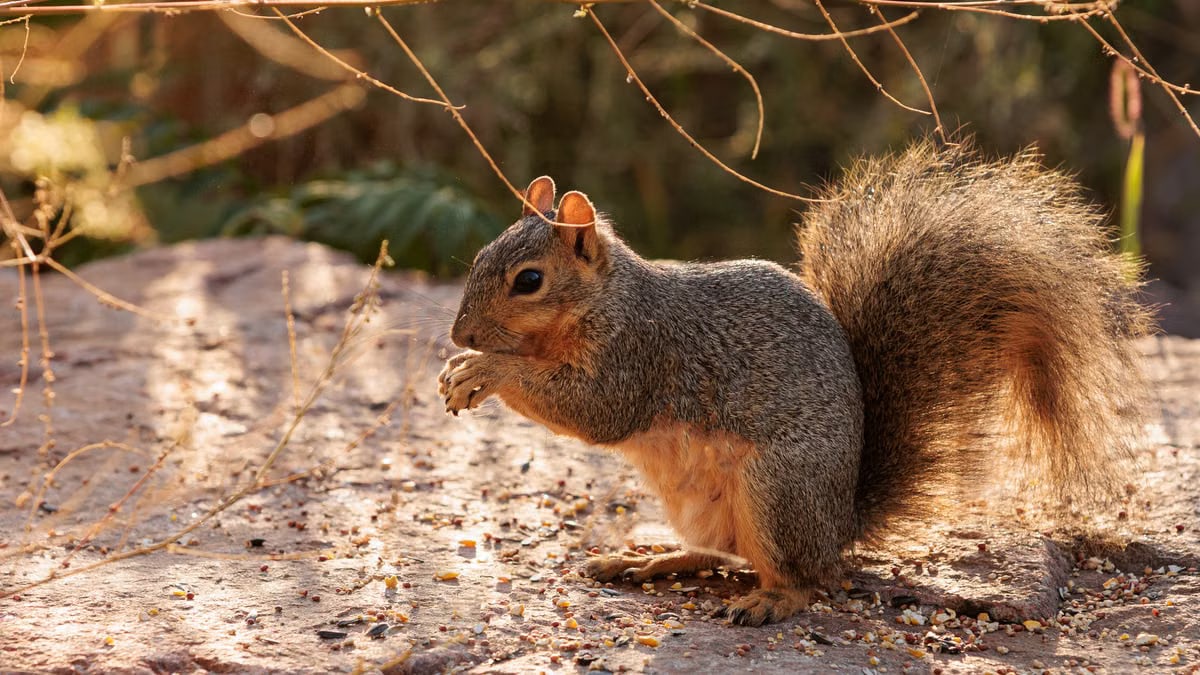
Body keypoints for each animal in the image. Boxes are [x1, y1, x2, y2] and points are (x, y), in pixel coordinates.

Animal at [437, 141, 1150, 626]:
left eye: (529, 280)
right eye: (479, 257)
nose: (460, 334)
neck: (606, 300)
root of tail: (840, 526)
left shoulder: (639, 355)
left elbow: (595, 410)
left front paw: (483, 371)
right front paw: (460, 369)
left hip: (777, 491)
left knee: (802, 579)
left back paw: (768, 602)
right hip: (712, 507)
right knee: (721, 555)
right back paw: (647, 560)